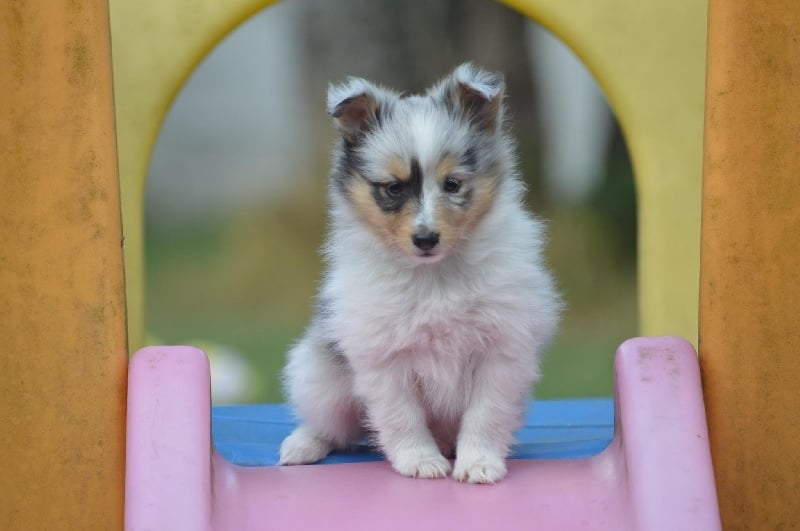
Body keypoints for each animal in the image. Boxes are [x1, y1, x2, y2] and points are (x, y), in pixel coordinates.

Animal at [278, 63, 560, 486]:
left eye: (453, 184)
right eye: (393, 188)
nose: (426, 239)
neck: (433, 276)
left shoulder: (502, 349)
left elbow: (486, 414)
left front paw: (479, 463)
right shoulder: (383, 357)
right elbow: (402, 416)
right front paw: (420, 460)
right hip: (321, 377)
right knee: (334, 426)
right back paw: (303, 445)